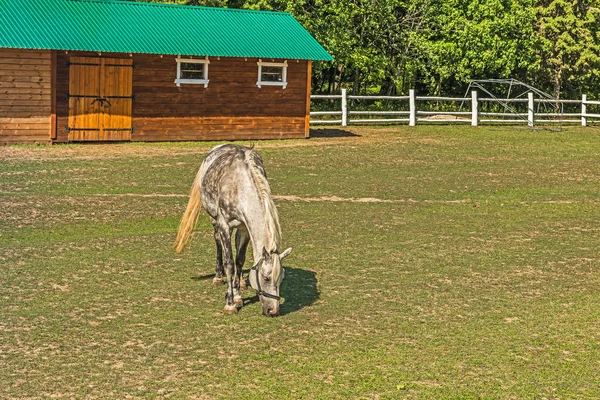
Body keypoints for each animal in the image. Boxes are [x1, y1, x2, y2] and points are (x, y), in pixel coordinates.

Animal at [172, 145, 292, 318]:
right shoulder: (224, 225)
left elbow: (239, 260)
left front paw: (237, 296)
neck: (239, 186)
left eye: (281, 278)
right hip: (214, 220)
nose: (273, 310)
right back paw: (218, 276)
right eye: (266, 278)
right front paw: (230, 303)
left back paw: (240, 282)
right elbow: (229, 263)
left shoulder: (245, 228)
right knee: (217, 242)